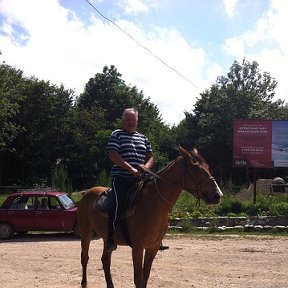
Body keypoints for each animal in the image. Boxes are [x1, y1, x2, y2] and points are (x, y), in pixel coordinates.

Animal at [78, 146, 223, 288]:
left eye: (207, 166)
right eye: (196, 168)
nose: (218, 195)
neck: (153, 205)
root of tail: (87, 193)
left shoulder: (152, 248)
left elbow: (145, 277)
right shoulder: (138, 248)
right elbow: (138, 279)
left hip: (106, 238)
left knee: (105, 260)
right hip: (86, 233)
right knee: (85, 258)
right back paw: (84, 283)